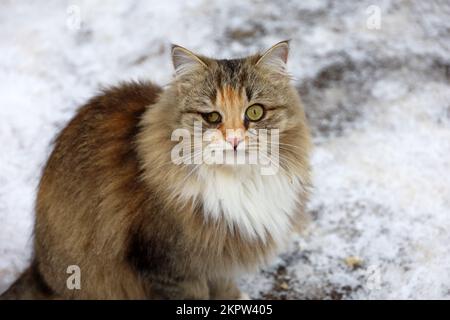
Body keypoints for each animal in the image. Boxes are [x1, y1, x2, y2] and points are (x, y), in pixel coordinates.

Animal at [0, 40, 312, 300]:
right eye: (211, 117)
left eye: (255, 112)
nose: (234, 139)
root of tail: (38, 269)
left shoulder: (218, 258)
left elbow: (225, 287)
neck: (237, 181)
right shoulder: (169, 266)